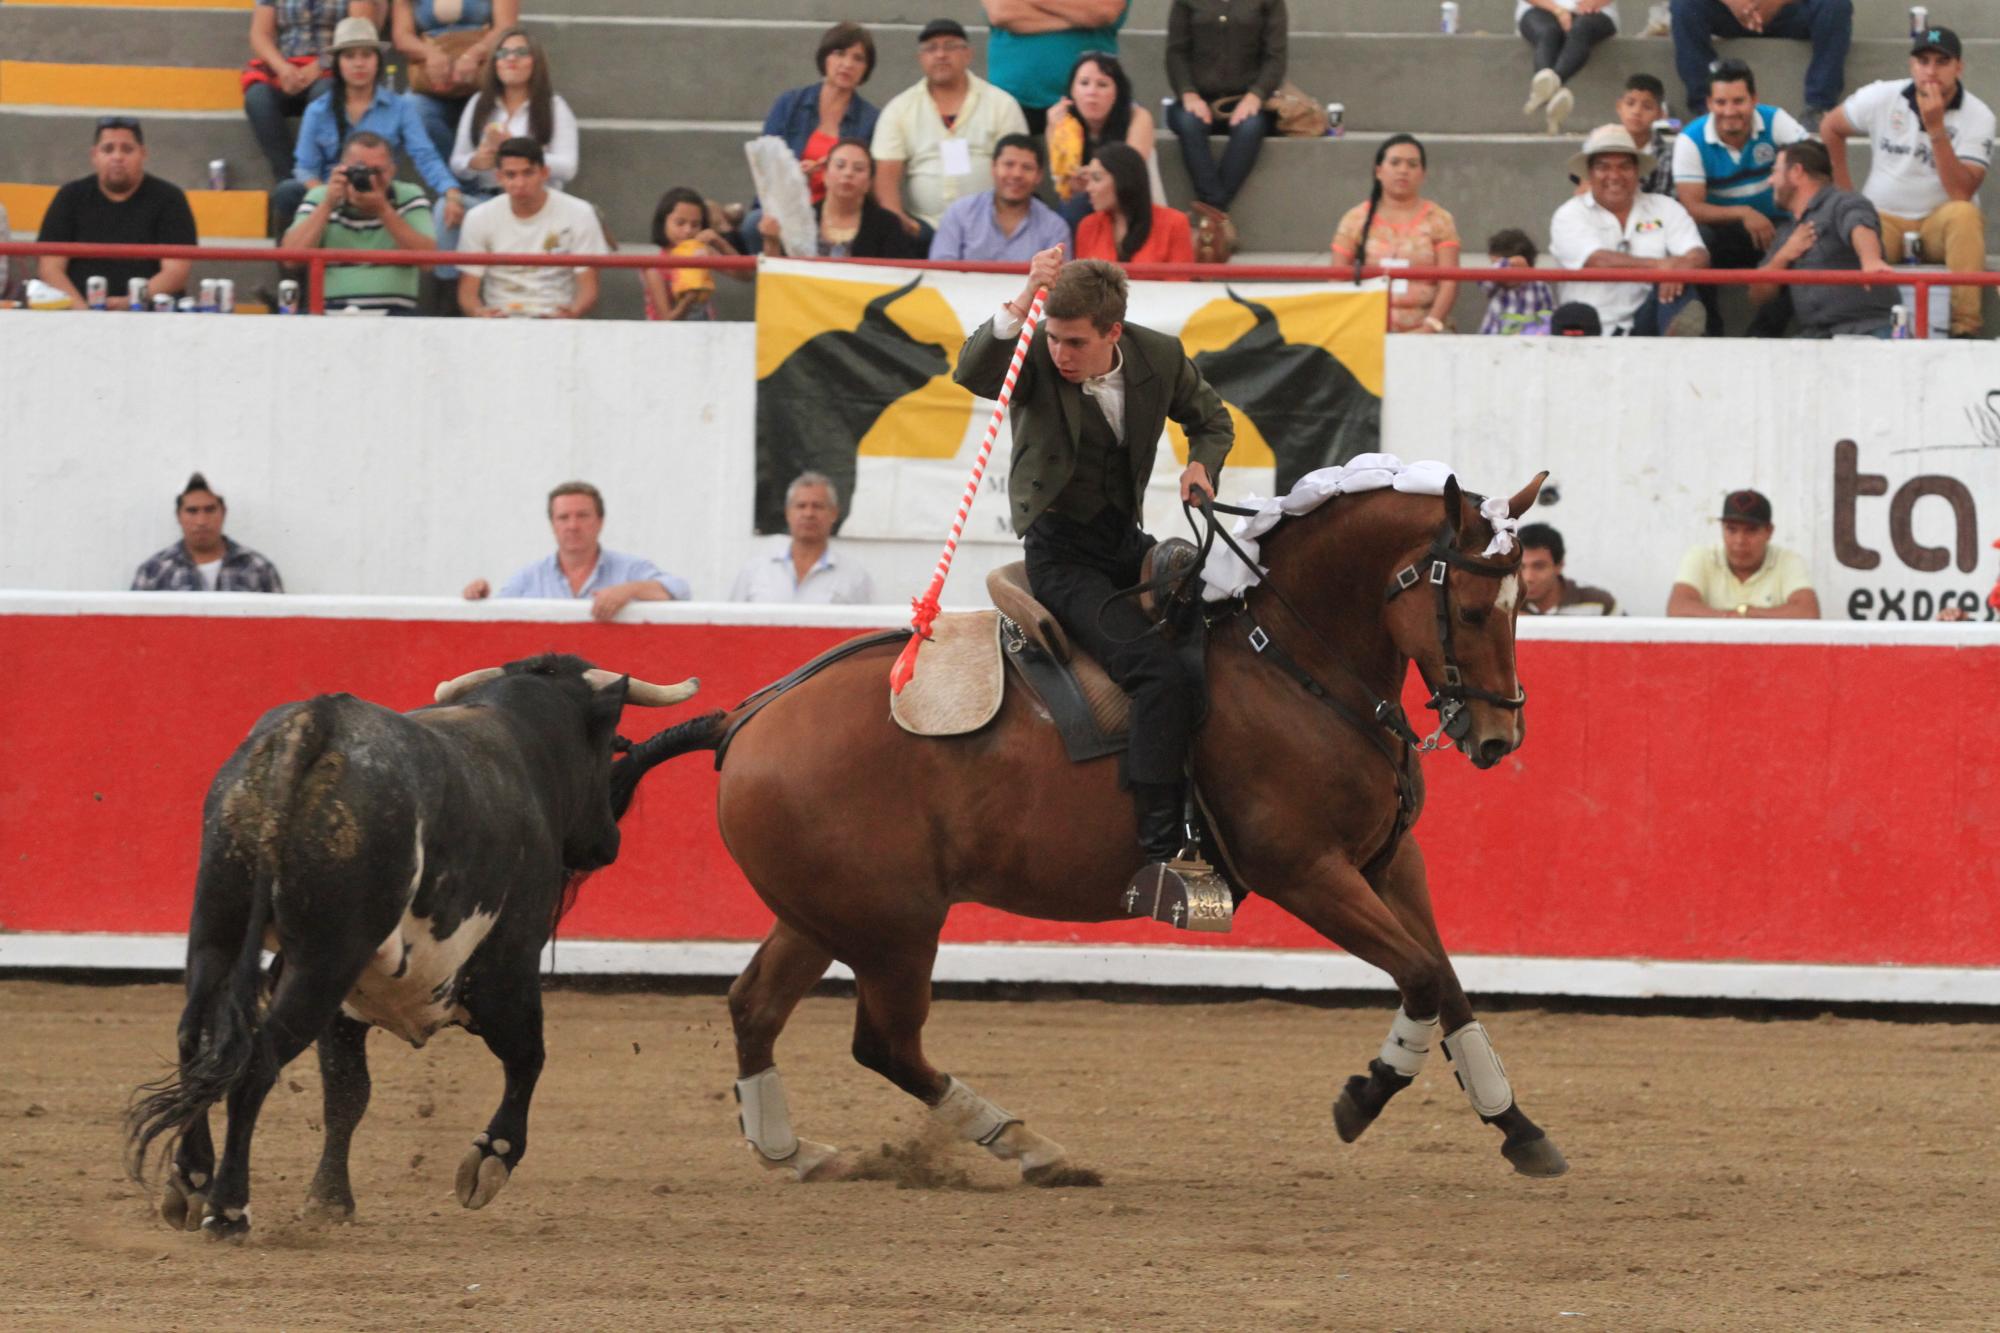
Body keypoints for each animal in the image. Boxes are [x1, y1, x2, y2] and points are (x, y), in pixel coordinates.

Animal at [123, 652, 704, 1232]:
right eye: (611, 744)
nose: (609, 841)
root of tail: (315, 723)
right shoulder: (508, 967)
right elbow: (527, 1056)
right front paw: (491, 1158)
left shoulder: (346, 1007)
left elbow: (347, 1094)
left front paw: (330, 1199)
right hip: (324, 961)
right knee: (256, 1064)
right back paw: (228, 1208)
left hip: (216, 929)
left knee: (196, 1039)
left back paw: (191, 1180)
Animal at [624, 472, 1560, 1176]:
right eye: (1472, 609)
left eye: (1524, 604)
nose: (1498, 736)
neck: (1292, 658)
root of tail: (748, 716)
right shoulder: (1308, 872)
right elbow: (1420, 976)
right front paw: (1364, 1094)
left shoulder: (1388, 862)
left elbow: (1446, 978)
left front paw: (1517, 1125)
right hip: (893, 927)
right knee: (885, 1043)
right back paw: (1026, 1143)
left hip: (823, 915)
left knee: (755, 1006)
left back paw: (794, 1150)